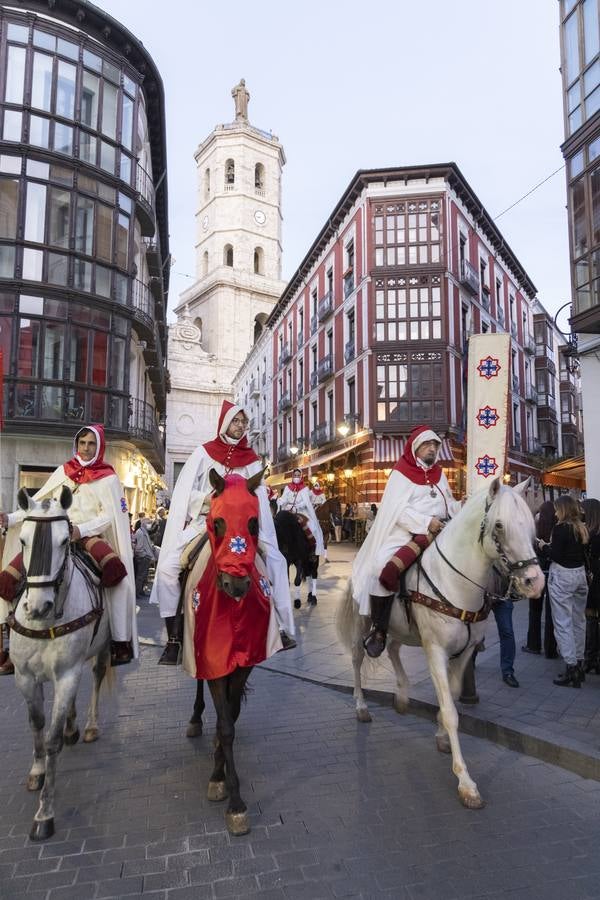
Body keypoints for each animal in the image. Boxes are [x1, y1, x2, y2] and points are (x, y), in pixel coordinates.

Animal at [8, 488, 112, 840]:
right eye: (23, 539)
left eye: (65, 540)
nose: (38, 607)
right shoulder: (25, 677)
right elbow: (37, 725)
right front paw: (37, 771)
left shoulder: (68, 672)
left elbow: (51, 740)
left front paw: (44, 814)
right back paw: (71, 725)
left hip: (102, 648)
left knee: (96, 677)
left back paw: (89, 726)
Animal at [338, 482, 544, 812]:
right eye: (500, 525)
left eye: (531, 525)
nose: (534, 583)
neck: (458, 581)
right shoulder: (435, 650)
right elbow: (450, 711)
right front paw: (466, 783)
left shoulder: (465, 650)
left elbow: (454, 695)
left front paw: (441, 735)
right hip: (363, 623)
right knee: (358, 658)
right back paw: (361, 706)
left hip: (402, 629)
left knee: (393, 649)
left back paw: (402, 696)